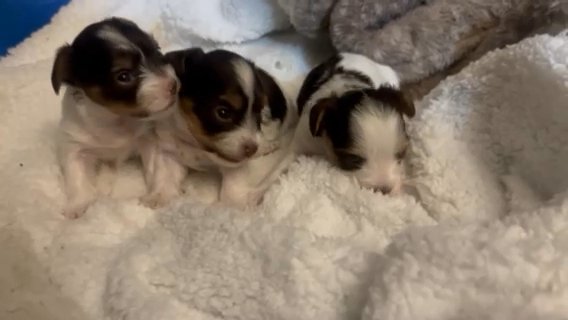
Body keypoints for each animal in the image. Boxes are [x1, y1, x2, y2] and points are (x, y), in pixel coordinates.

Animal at [52, 16, 180, 218]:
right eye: (124, 76)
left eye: (157, 51)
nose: (173, 85)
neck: (117, 118)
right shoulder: (74, 143)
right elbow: (77, 175)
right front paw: (79, 204)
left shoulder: (151, 137)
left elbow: (159, 167)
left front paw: (159, 195)